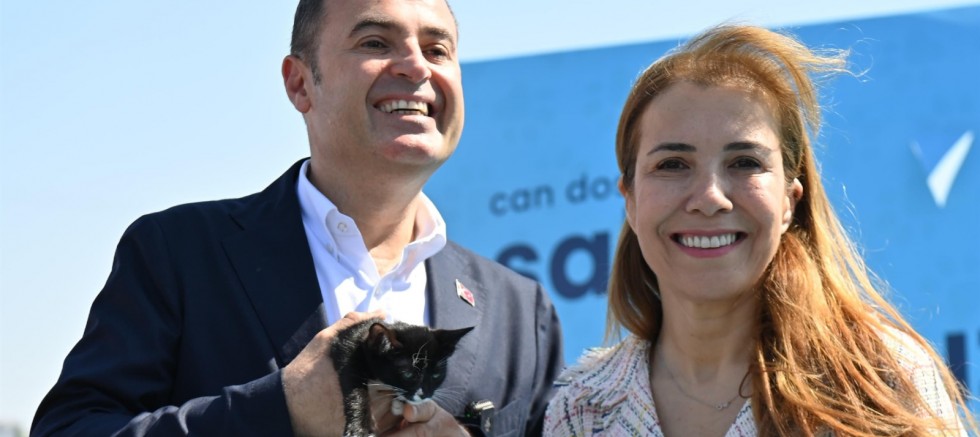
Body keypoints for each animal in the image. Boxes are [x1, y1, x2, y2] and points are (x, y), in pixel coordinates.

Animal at [330, 318, 474, 436]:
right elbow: (352, 382)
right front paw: (358, 429)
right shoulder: (348, 347)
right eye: (408, 374)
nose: (425, 394)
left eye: (436, 375)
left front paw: (399, 403)